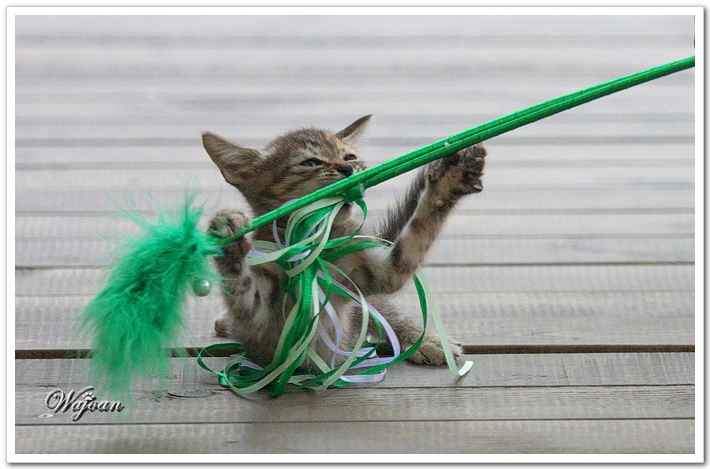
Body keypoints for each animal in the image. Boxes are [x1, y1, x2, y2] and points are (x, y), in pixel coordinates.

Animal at [202, 115, 486, 369]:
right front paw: (227, 236)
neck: (313, 241)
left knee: (385, 314)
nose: (348, 169)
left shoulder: (382, 272)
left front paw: (449, 183)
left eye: (349, 157)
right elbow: (240, 290)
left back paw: (426, 340)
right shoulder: (261, 321)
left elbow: (420, 230)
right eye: (311, 162)